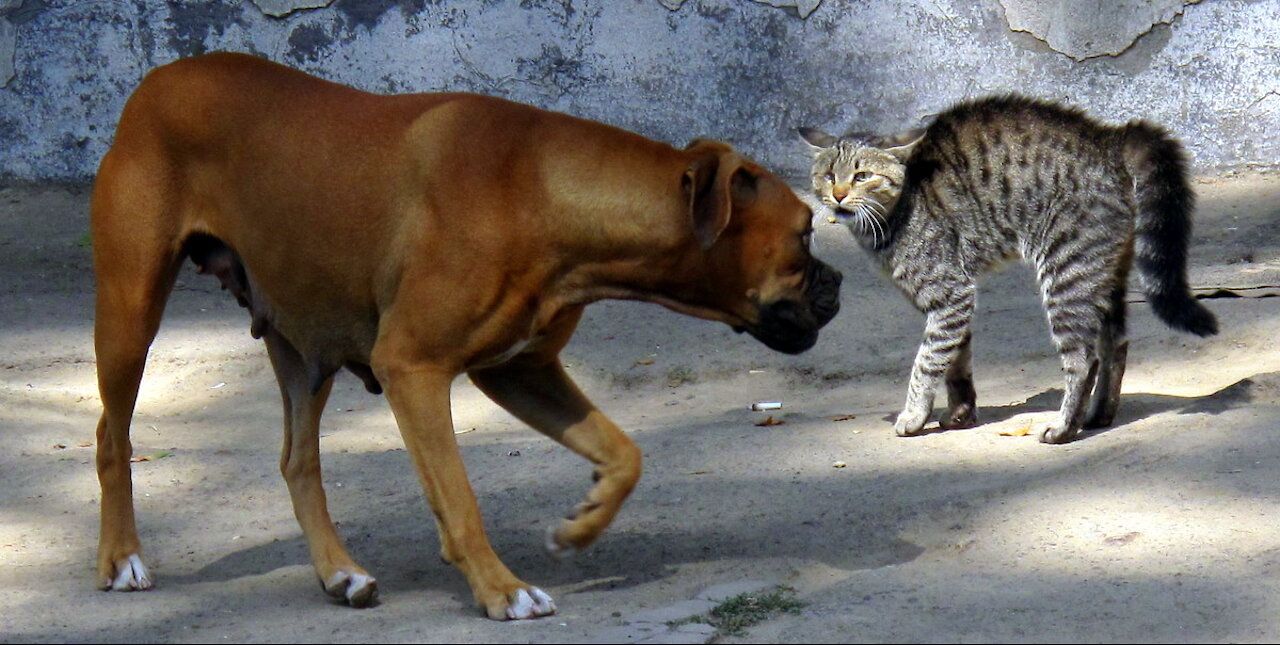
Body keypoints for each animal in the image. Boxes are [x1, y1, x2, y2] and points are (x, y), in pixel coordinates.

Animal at [94, 52, 844, 616]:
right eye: (805, 234)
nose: (837, 283)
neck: (546, 193)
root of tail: (158, 77)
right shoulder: (413, 368)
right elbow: (459, 495)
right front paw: (501, 590)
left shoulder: (522, 371)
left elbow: (624, 452)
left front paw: (584, 522)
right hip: (131, 311)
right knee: (112, 435)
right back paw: (121, 558)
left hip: (301, 347)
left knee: (297, 461)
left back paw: (340, 573)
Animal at [803, 94, 1213, 442]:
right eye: (829, 176)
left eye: (862, 176)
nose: (837, 196)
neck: (894, 215)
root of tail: (1108, 137)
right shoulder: (953, 303)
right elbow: (956, 360)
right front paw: (960, 413)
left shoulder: (950, 293)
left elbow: (927, 361)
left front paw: (914, 415)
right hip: (1104, 276)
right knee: (1117, 344)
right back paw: (1098, 415)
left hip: (1067, 274)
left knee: (1084, 359)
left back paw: (1064, 427)